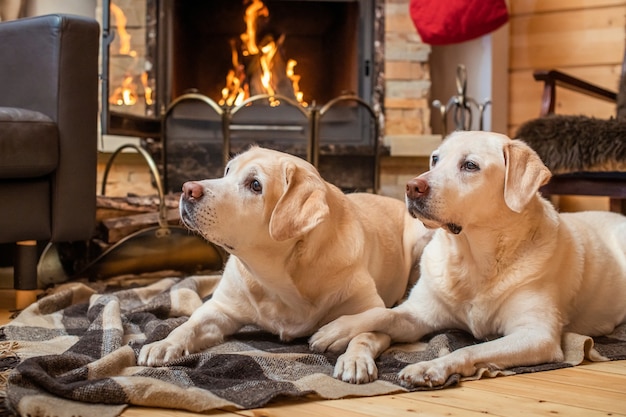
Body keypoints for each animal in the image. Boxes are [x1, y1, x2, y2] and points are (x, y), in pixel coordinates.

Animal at [137, 145, 432, 370]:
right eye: (227, 171)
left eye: (255, 185)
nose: (188, 189)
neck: (281, 275)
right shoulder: (220, 309)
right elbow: (189, 325)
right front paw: (163, 343)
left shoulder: (372, 309)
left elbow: (366, 330)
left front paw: (355, 359)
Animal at [310, 131, 624, 386]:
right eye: (435, 159)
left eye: (470, 165)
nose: (411, 187)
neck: (471, 258)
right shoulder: (419, 314)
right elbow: (381, 313)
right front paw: (336, 330)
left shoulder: (537, 335)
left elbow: (470, 348)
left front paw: (429, 367)